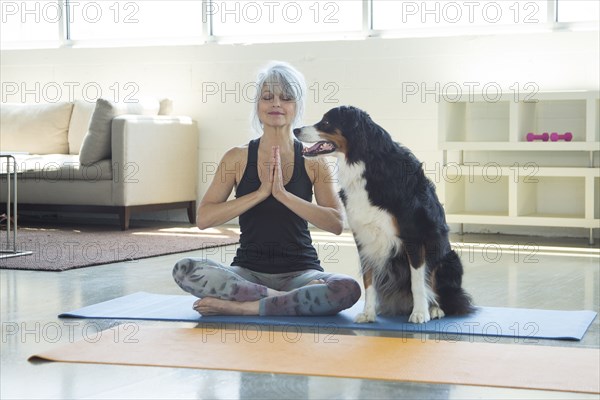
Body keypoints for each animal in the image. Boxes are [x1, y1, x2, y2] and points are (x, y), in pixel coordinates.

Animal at [294, 105, 474, 322]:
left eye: (327, 122)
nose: (295, 130)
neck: (366, 165)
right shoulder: (363, 237)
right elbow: (368, 279)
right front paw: (368, 313)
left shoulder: (413, 235)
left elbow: (417, 281)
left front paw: (419, 313)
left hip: (449, 258)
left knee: (449, 295)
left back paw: (434, 309)